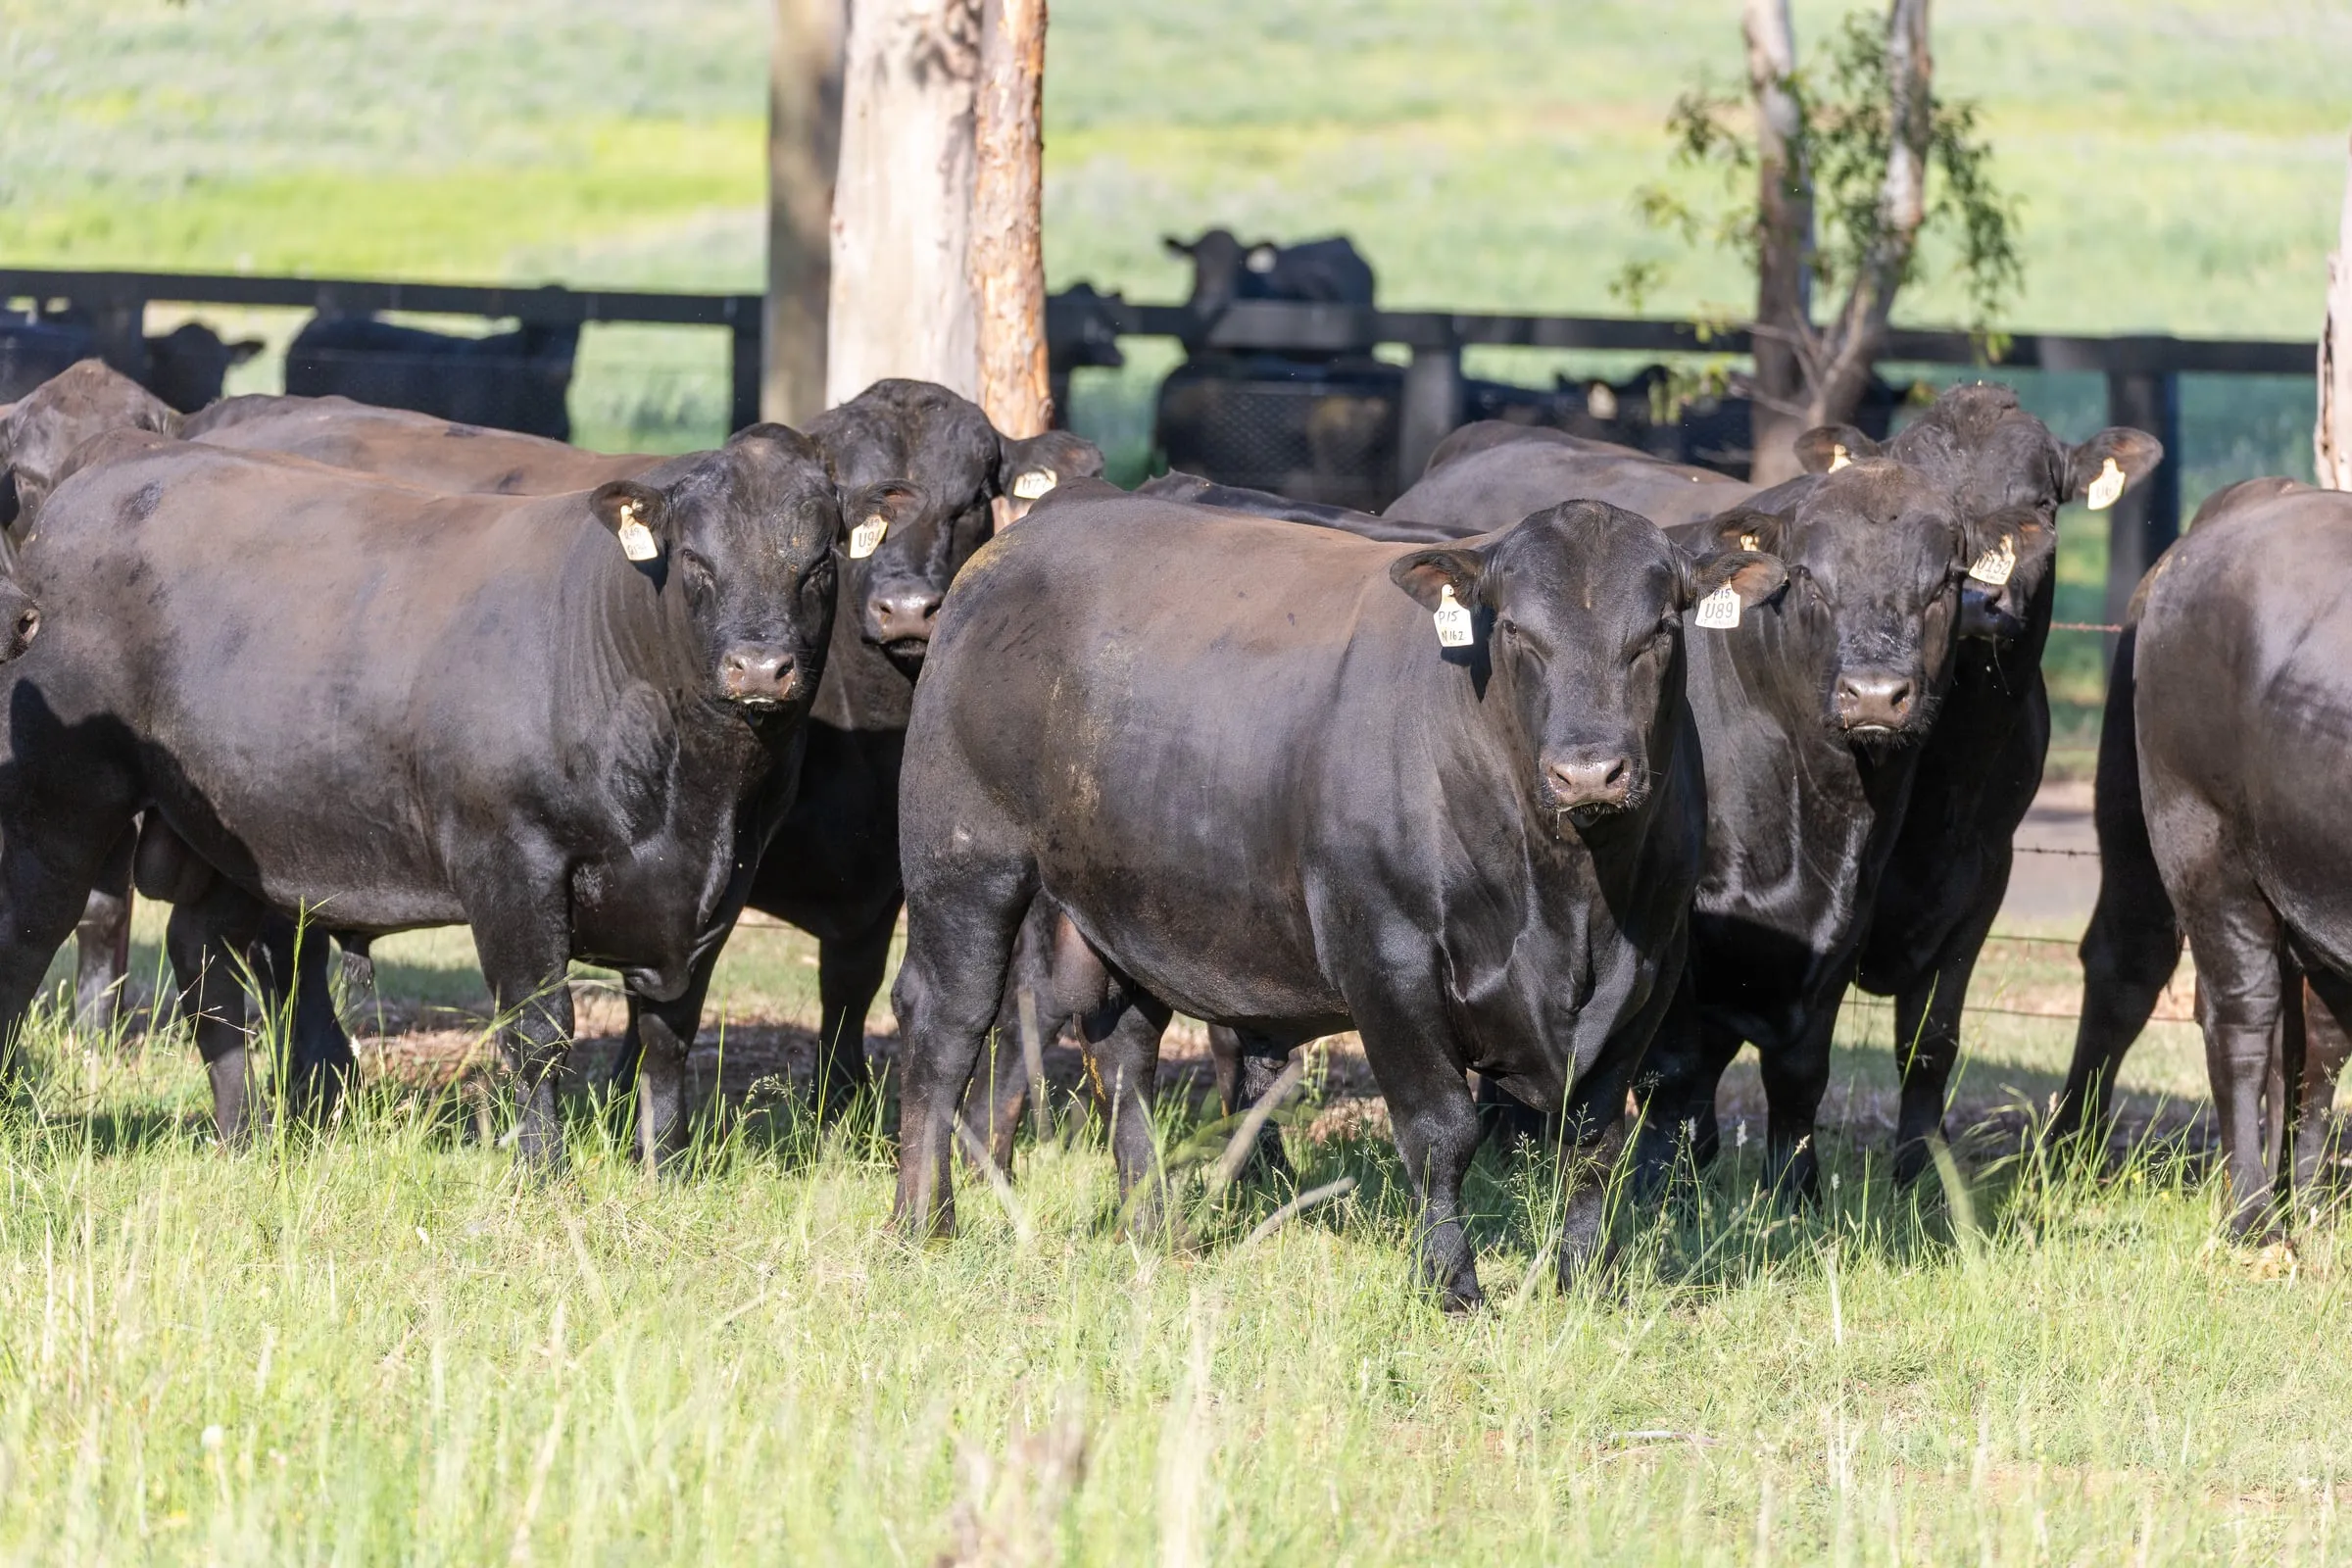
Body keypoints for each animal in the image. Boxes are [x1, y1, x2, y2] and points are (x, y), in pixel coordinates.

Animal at [0, 423, 891, 1168]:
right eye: (699, 562)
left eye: (819, 564)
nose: (759, 667)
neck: (692, 797)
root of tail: (89, 482)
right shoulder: (510, 862)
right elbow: (538, 1030)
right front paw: (545, 1172)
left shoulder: (715, 889)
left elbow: (669, 1036)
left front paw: (662, 1169)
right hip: (58, 808)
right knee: (30, 939)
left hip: (231, 833)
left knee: (205, 960)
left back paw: (241, 1137)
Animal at [888, 488, 1786, 1307]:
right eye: (1518, 631)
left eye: (1659, 631)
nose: (1589, 771)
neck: (1567, 900)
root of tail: (1018, 542)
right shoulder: (1386, 959)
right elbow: (1440, 1132)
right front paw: (1451, 1286)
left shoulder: (1648, 972)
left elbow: (1595, 1143)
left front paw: (1586, 1282)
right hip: (964, 864)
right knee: (948, 1028)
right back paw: (923, 1225)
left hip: (1130, 905)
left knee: (1126, 1054)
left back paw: (1153, 1231)